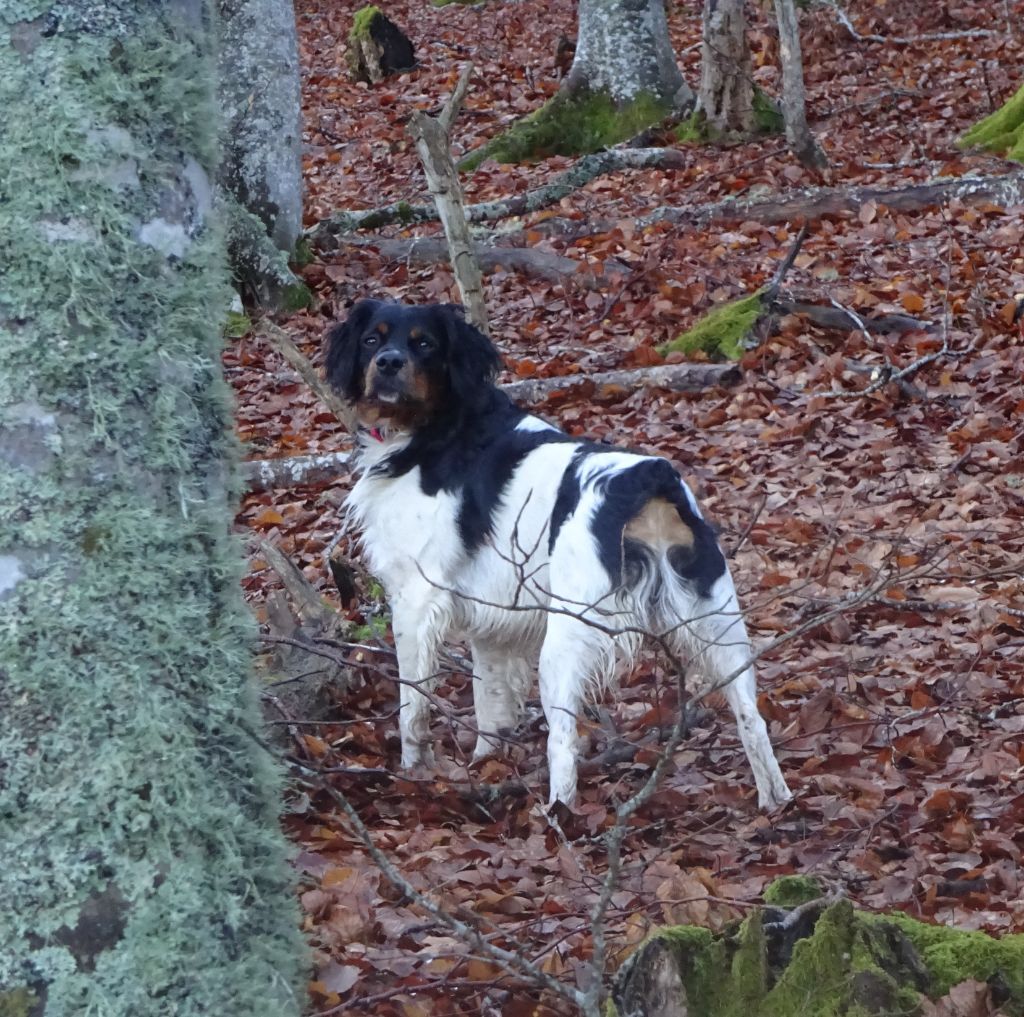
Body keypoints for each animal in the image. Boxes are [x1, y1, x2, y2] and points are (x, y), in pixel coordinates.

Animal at [325, 297, 790, 807]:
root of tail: (646, 476)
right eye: (372, 339)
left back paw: (557, 813)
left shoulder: (415, 598)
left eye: (423, 343)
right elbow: (491, 705)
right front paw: (485, 767)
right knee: (752, 718)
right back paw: (776, 803)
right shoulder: (492, 622)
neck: (436, 429)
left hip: (567, 635)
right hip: (718, 623)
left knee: (563, 742)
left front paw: (414, 772)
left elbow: (413, 706)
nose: (388, 363)